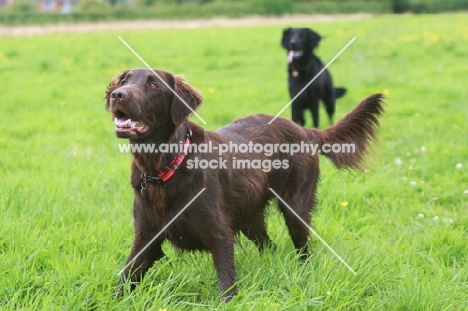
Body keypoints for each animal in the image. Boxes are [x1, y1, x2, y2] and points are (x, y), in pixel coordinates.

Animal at [106, 67, 384, 300]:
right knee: (269, 245)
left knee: (303, 250)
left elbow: (226, 284)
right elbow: (127, 275)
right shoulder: (146, 235)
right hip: (250, 217)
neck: (164, 167)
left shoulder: (220, 236)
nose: (117, 96)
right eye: (124, 81)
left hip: (295, 208)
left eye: (153, 85)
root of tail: (305, 131)